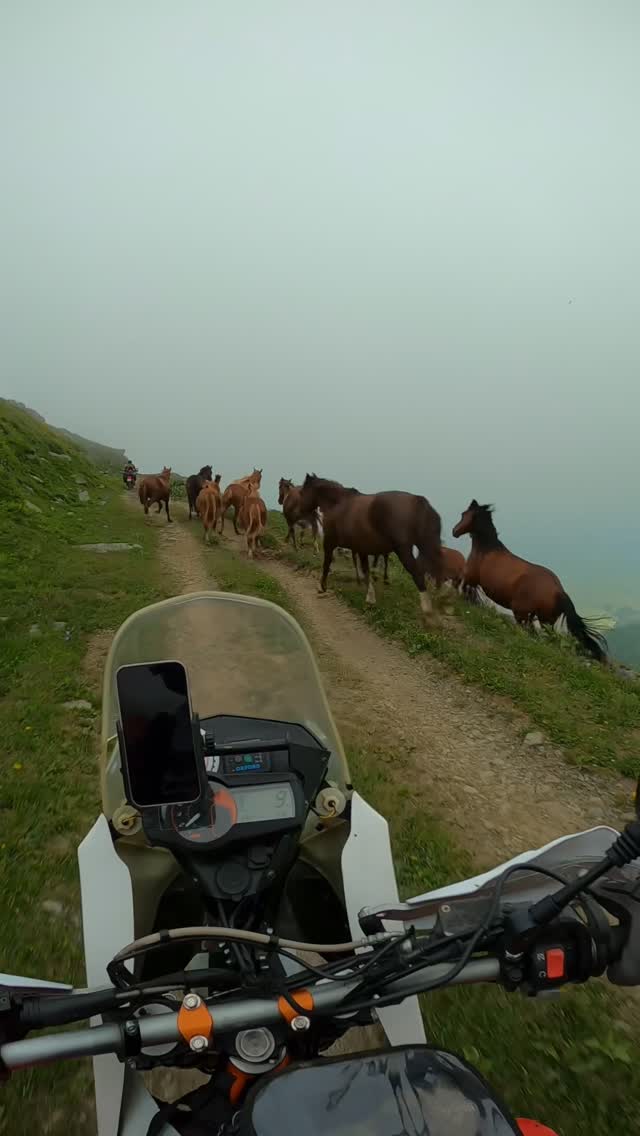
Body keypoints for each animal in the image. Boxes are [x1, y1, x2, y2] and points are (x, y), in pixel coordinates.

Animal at [297, 474, 442, 621]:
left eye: (302, 492)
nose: (299, 512)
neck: (338, 503)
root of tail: (419, 501)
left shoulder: (330, 542)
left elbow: (327, 564)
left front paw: (321, 587)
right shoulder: (361, 548)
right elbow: (365, 570)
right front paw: (370, 597)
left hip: (404, 551)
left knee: (417, 574)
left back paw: (427, 611)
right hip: (426, 547)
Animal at [452, 500, 607, 661]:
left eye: (467, 515)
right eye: (463, 514)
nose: (454, 531)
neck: (486, 550)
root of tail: (560, 592)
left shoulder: (470, 577)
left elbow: (463, 586)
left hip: (523, 615)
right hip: (544, 620)